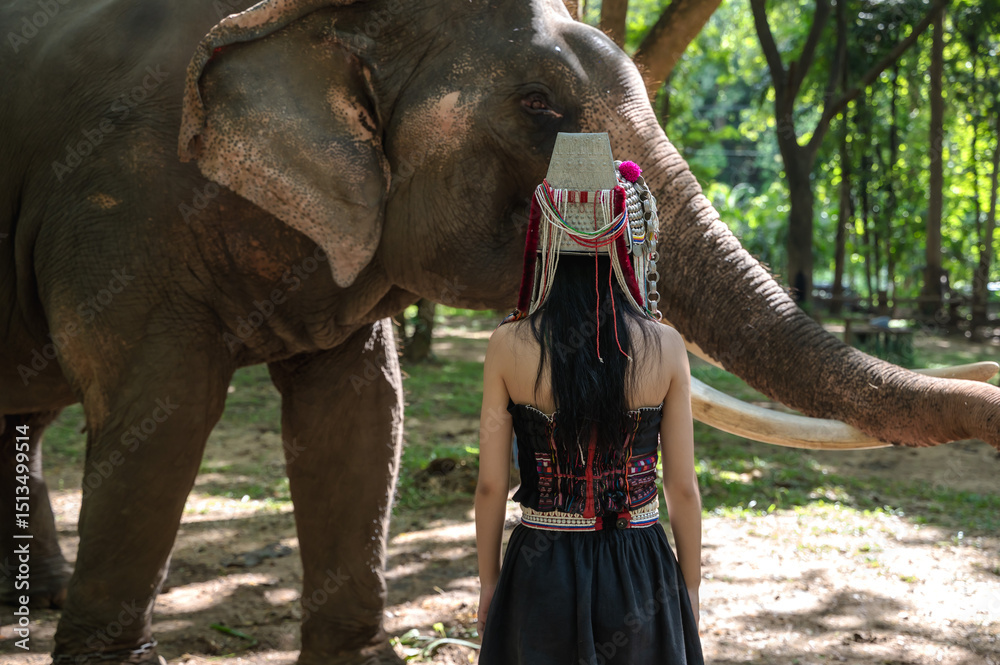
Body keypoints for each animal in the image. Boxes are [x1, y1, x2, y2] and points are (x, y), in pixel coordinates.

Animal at [1, 0, 998, 663]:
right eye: (538, 104)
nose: (988, 386)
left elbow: (359, 414)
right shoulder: (118, 204)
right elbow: (164, 412)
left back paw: (38, 592)